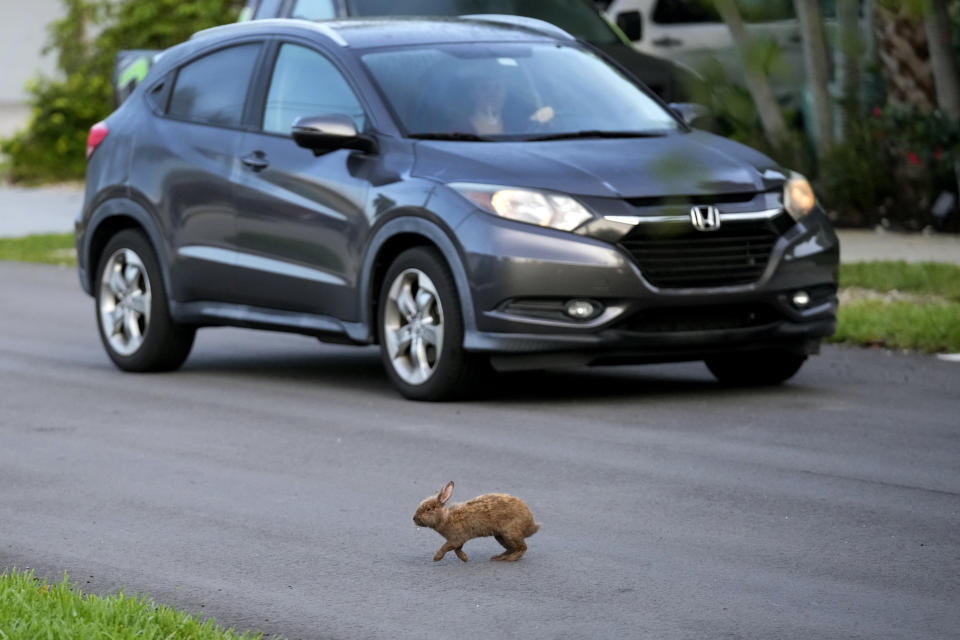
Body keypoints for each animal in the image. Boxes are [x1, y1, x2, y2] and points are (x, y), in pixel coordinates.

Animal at [408, 480, 536, 560]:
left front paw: (437, 558)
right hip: (500, 536)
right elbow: (457, 550)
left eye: (428, 509)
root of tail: (532, 524)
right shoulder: (460, 540)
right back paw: (498, 557)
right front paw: (465, 558)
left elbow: (447, 547)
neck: (446, 518)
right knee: (512, 548)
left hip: (509, 533)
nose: (414, 518)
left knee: (522, 547)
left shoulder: (456, 538)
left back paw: (510, 559)